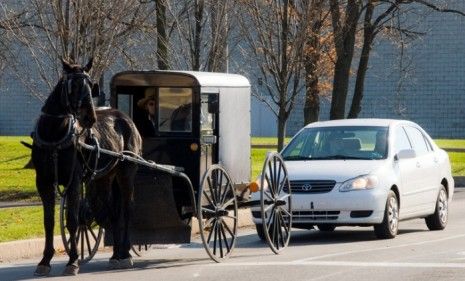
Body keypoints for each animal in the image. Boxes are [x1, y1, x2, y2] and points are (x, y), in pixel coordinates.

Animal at [32, 58, 141, 274]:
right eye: (73, 85)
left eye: (91, 86)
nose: (90, 118)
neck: (54, 135)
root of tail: (126, 119)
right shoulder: (43, 182)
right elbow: (48, 222)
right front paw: (45, 260)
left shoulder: (73, 181)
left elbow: (73, 220)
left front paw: (73, 261)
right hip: (105, 178)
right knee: (111, 213)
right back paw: (116, 255)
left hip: (126, 173)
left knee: (127, 210)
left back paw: (126, 253)